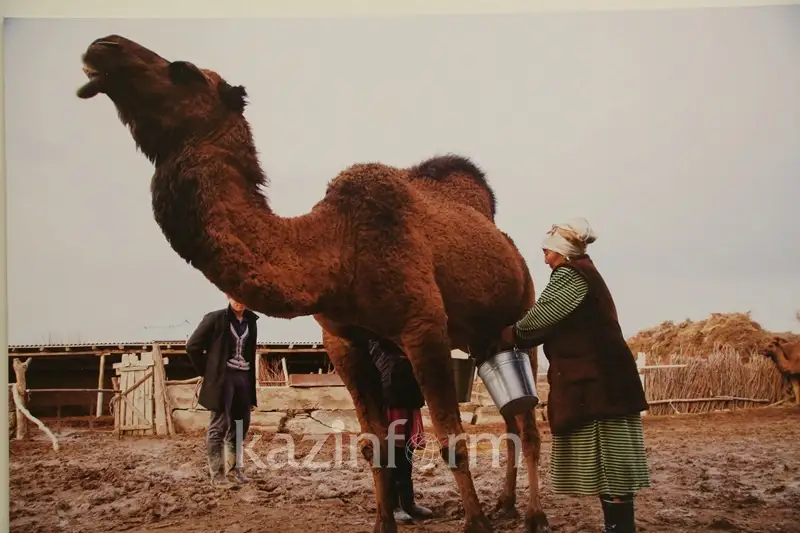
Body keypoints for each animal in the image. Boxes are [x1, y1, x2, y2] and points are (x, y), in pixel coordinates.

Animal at [75, 35, 552, 528]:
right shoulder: (342, 340)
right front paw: (383, 523)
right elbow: (373, 444)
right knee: (513, 422)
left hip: (522, 319)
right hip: (482, 339)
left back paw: (533, 515)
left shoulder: (423, 328)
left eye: (183, 70)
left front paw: (475, 523)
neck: (336, 246)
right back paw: (506, 504)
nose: (103, 46)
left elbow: (452, 441)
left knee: (529, 425)